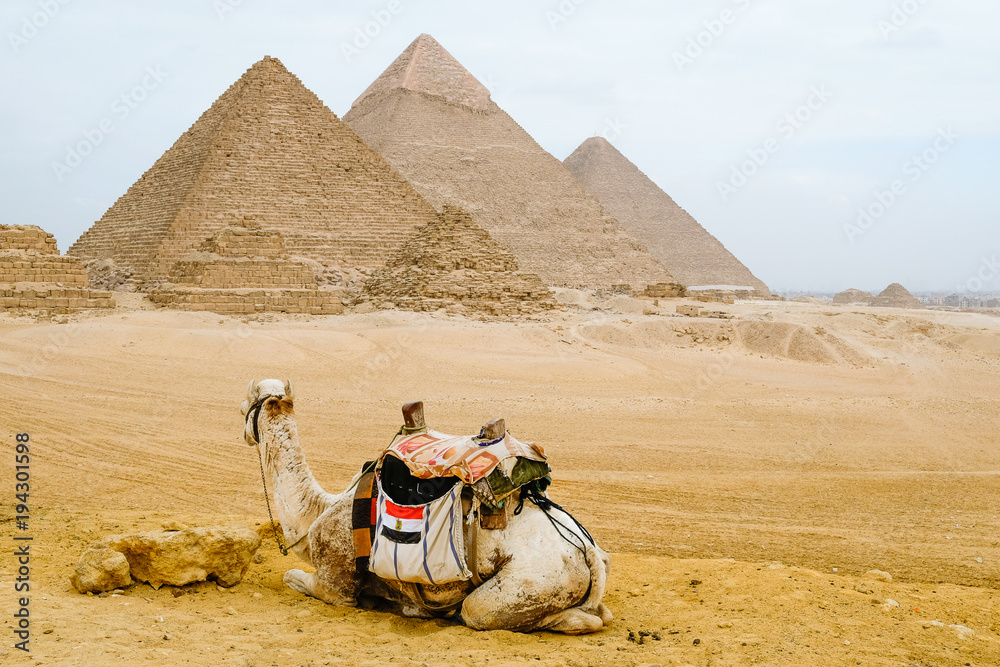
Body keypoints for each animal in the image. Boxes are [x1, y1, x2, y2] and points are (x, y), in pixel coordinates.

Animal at [240, 378, 613, 634]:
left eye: (245, 403)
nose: (244, 429)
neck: (316, 511)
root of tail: (586, 551)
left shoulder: (335, 584)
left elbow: (293, 577)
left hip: (534, 580)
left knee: (480, 611)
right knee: (601, 613)